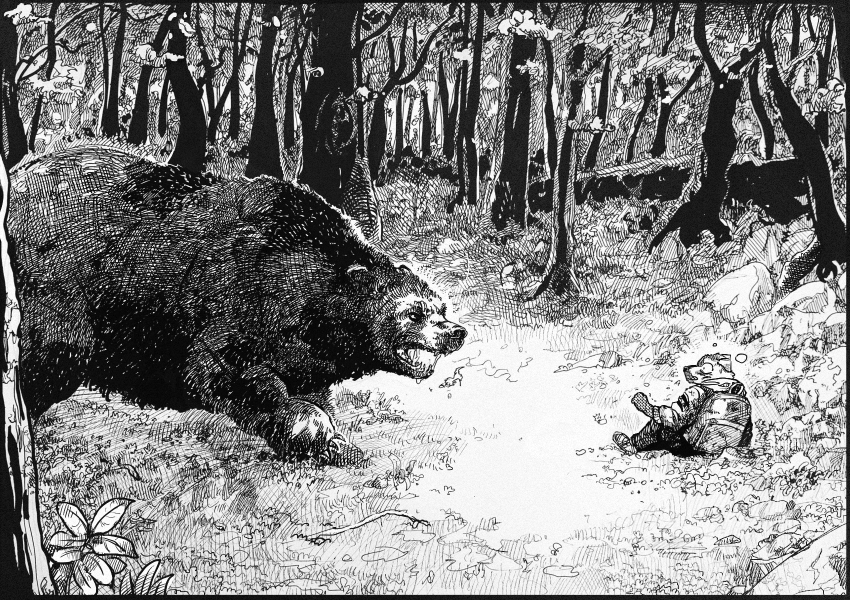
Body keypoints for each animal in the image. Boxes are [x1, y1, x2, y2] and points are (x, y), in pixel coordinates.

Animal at [7, 146, 466, 465]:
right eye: (414, 311)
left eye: (441, 306)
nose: (455, 333)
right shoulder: (234, 298)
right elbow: (218, 371)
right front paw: (309, 428)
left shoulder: (302, 351)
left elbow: (309, 384)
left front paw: (331, 441)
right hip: (58, 289)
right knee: (52, 353)